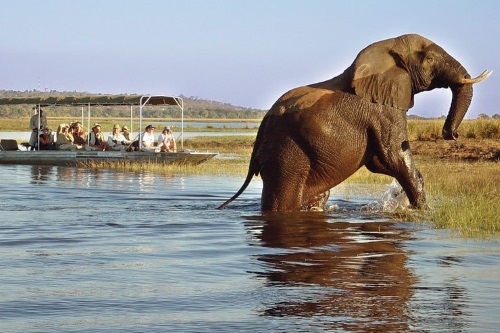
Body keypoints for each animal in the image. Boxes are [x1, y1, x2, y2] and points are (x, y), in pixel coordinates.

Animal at [220, 33, 492, 210]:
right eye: (430, 60)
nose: (451, 134)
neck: (387, 48)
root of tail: (261, 131)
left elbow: (379, 162)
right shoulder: (383, 110)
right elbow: (394, 157)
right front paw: (423, 213)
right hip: (286, 153)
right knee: (283, 199)